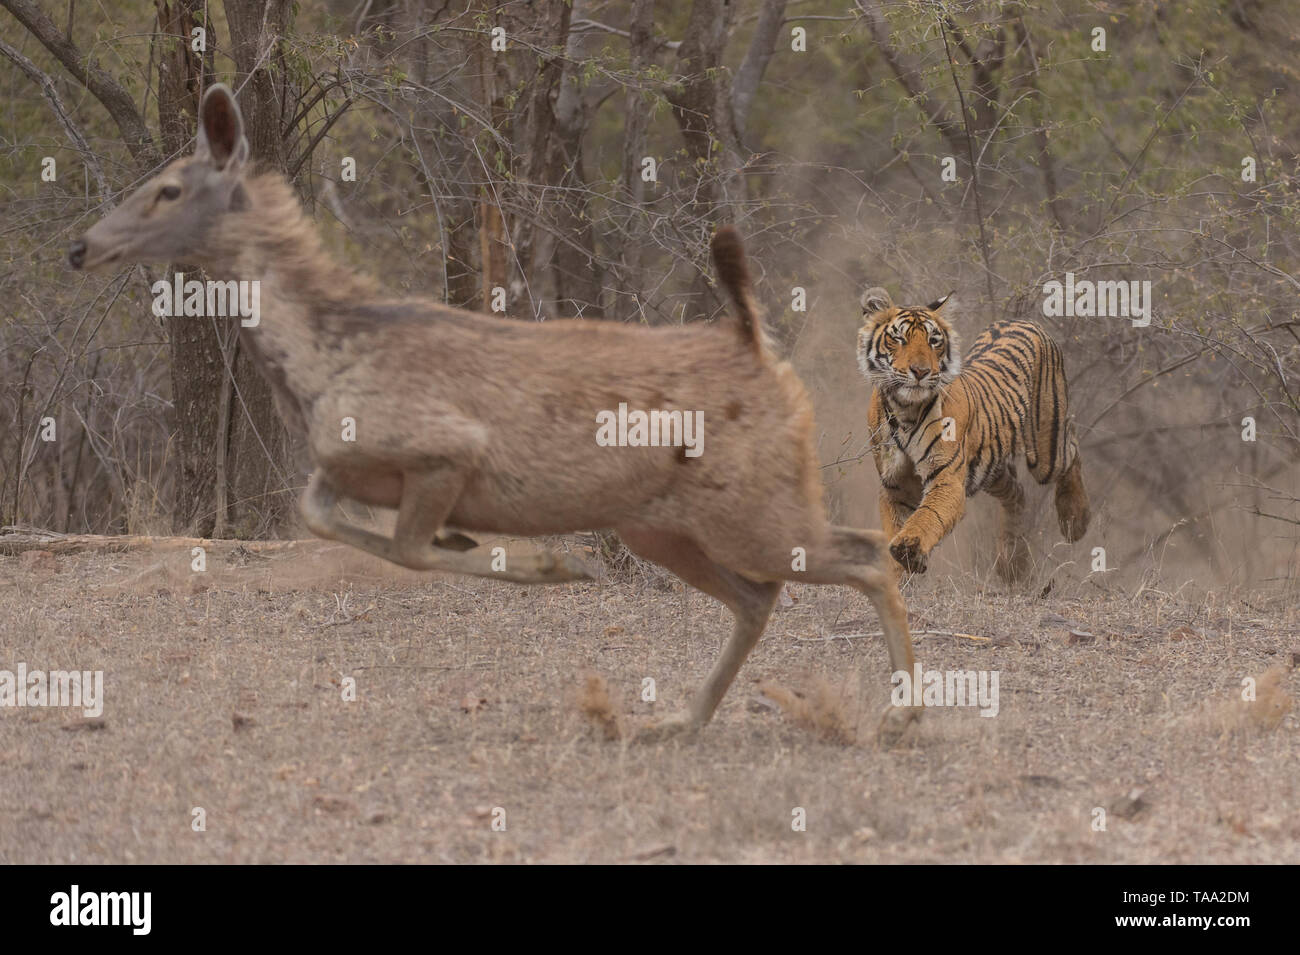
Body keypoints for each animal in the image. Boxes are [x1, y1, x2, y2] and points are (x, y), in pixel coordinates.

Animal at [71, 83, 920, 738]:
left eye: (169, 188)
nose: (82, 246)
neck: (322, 358)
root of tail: (758, 349)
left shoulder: (445, 447)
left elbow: (409, 549)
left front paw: (548, 564)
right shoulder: (341, 469)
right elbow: (330, 520)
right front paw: (509, 550)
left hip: (755, 503)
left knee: (865, 554)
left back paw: (902, 713)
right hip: (661, 523)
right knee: (758, 595)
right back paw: (681, 719)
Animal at [857, 285, 1092, 582]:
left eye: (934, 340)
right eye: (898, 338)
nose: (921, 371)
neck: (904, 409)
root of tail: (1025, 321)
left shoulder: (947, 479)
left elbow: (925, 518)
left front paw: (910, 550)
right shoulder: (895, 486)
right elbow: (895, 530)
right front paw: (899, 576)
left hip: (1045, 449)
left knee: (1071, 445)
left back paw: (1076, 520)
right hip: (991, 468)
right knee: (1017, 493)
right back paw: (1012, 564)